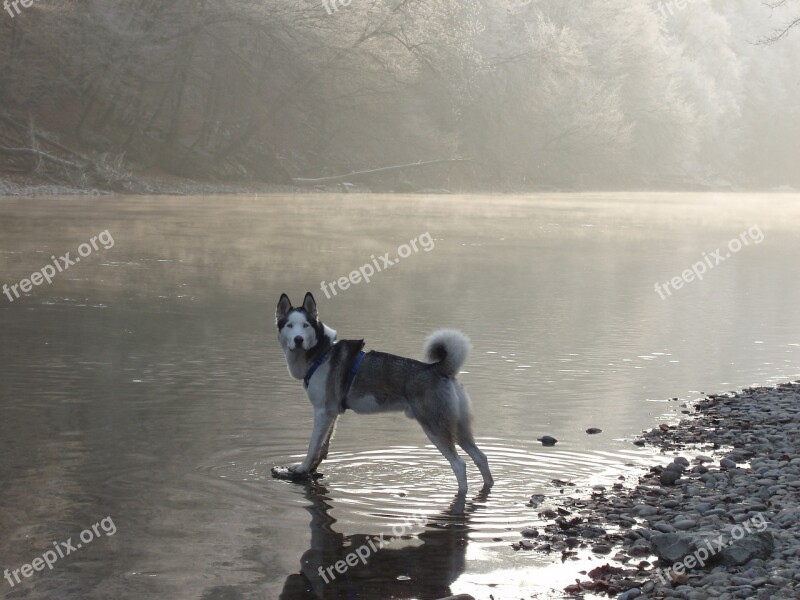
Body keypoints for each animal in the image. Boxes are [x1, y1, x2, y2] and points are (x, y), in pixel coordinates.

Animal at [278, 292, 496, 494]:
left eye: (305, 325)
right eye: (289, 325)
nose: (298, 340)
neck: (321, 353)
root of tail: (438, 369)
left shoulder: (322, 412)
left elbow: (313, 446)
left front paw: (302, 469)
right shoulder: (332, 414)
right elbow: (323, 447)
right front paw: (313, 468)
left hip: (435, 428)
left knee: (460, 465)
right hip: (459, 429)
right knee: (481, 457)